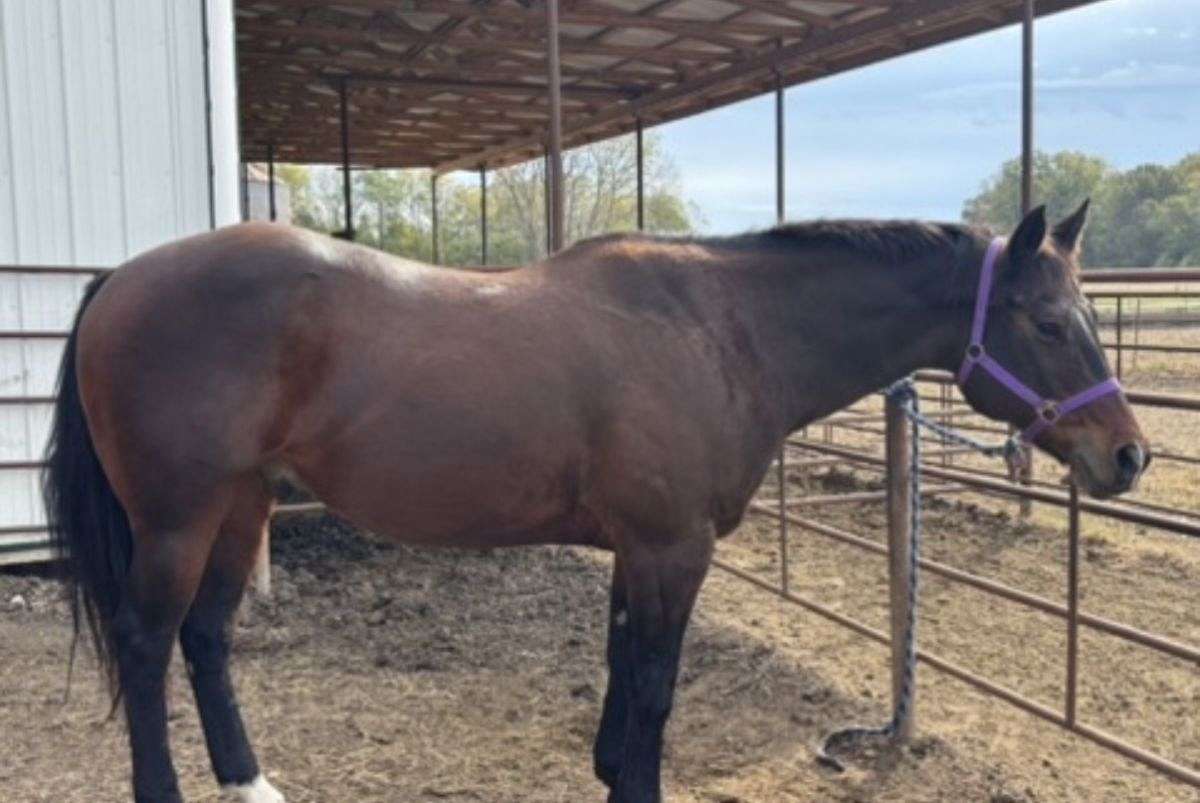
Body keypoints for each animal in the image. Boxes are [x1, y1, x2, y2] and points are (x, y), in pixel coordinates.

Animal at [44, 201, 1148, 803]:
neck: (725, 330)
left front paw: (614, 770)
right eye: (1050, 321)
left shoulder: (635, 546)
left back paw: (248, 774)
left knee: (206, 637)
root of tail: (122, 278)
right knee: (147, 644)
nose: (1128, 455)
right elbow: (656, 680)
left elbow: (624, 666)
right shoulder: (670, 546)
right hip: (178, 518)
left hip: (241, 505)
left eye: (1088, 314)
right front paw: (639, 780)